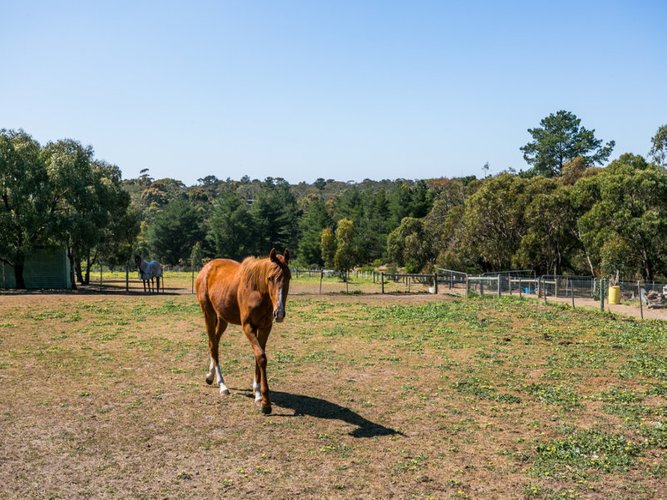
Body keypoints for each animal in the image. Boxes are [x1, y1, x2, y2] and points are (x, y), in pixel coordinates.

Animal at [194, 247, 290, 414]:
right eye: (270, 278)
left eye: (289, 278)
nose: (279, 313)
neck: (257, 290)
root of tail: (206, 268)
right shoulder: (248, 326)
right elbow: (261, 357)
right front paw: (265, 403)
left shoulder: (265, 327)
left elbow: (259, 357)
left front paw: (257, 393)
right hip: (208, 313)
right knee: (213, 344)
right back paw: (222, 385)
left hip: (223, 319)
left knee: (214, 343)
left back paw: (210, 376)